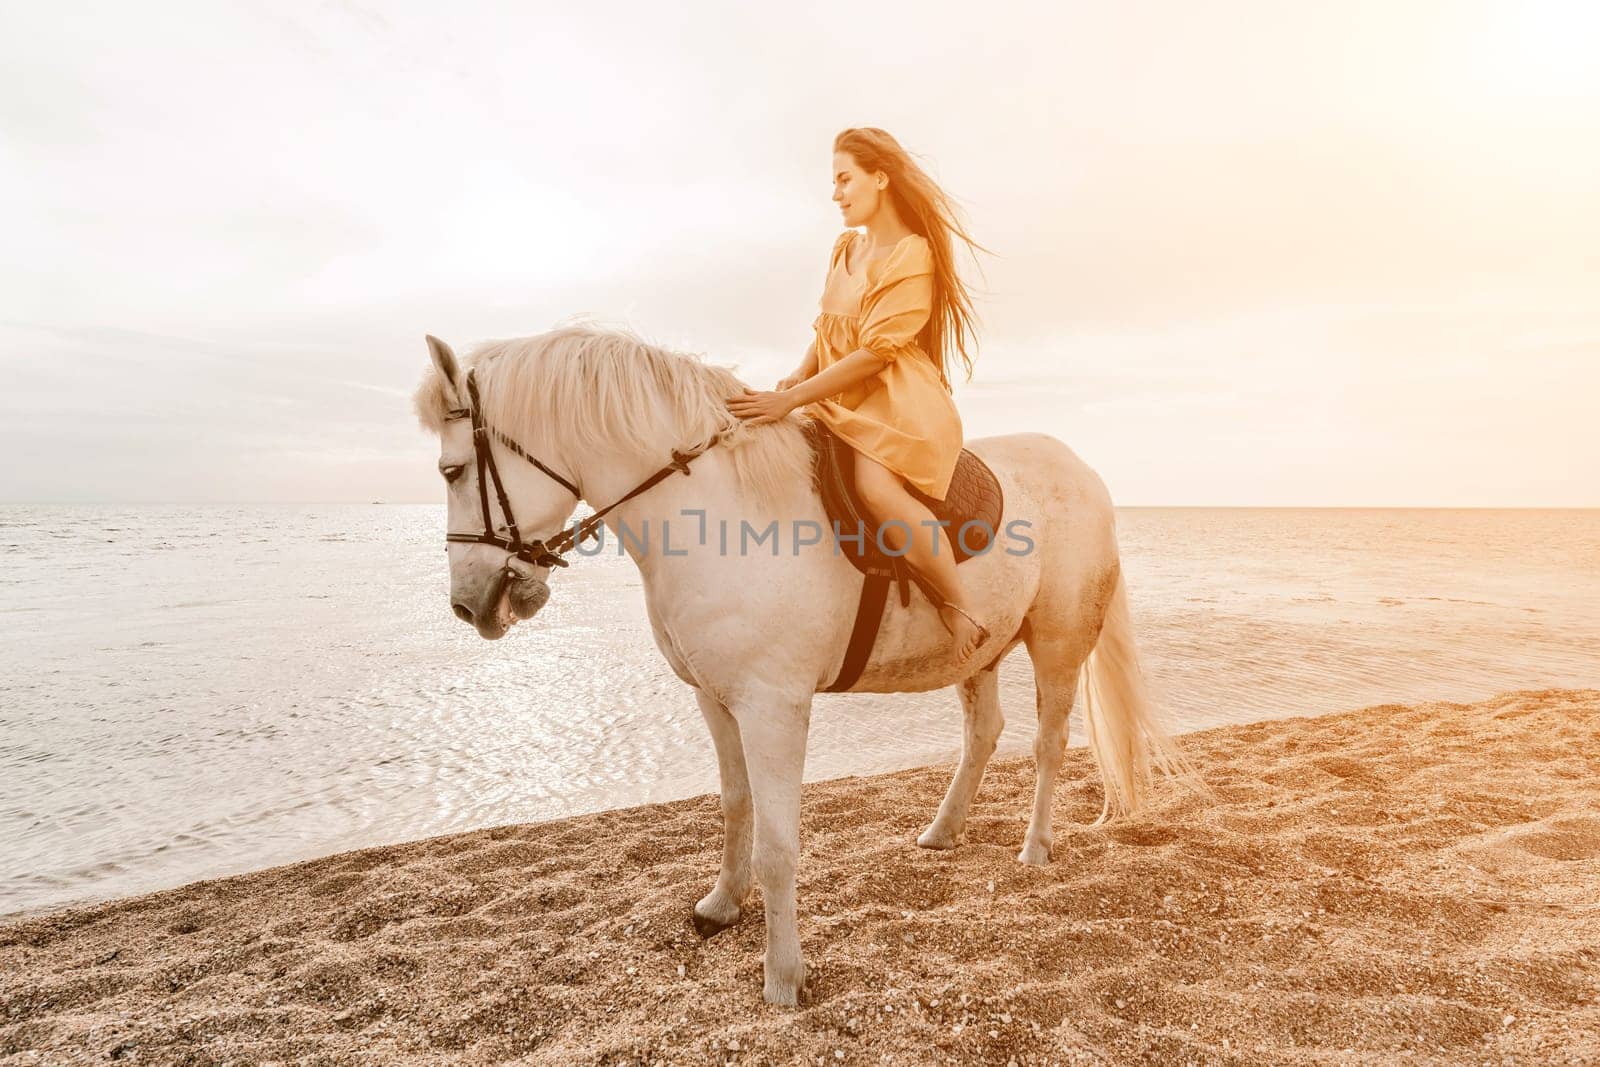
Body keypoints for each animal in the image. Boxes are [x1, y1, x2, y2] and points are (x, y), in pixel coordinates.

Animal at [409, 321, 1190, 1004]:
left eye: (452, 469)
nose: (467, 605)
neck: (716, 512)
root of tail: (1083, 470)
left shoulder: (773, 708)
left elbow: (778, 845)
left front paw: (783, 977)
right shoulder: (715, 699)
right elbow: (735, 804)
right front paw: (720, 905)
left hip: (1057, 641)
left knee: (1049, 743)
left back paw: (1034, 848)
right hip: (982, 649)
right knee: (983, 733)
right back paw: (942, 831)